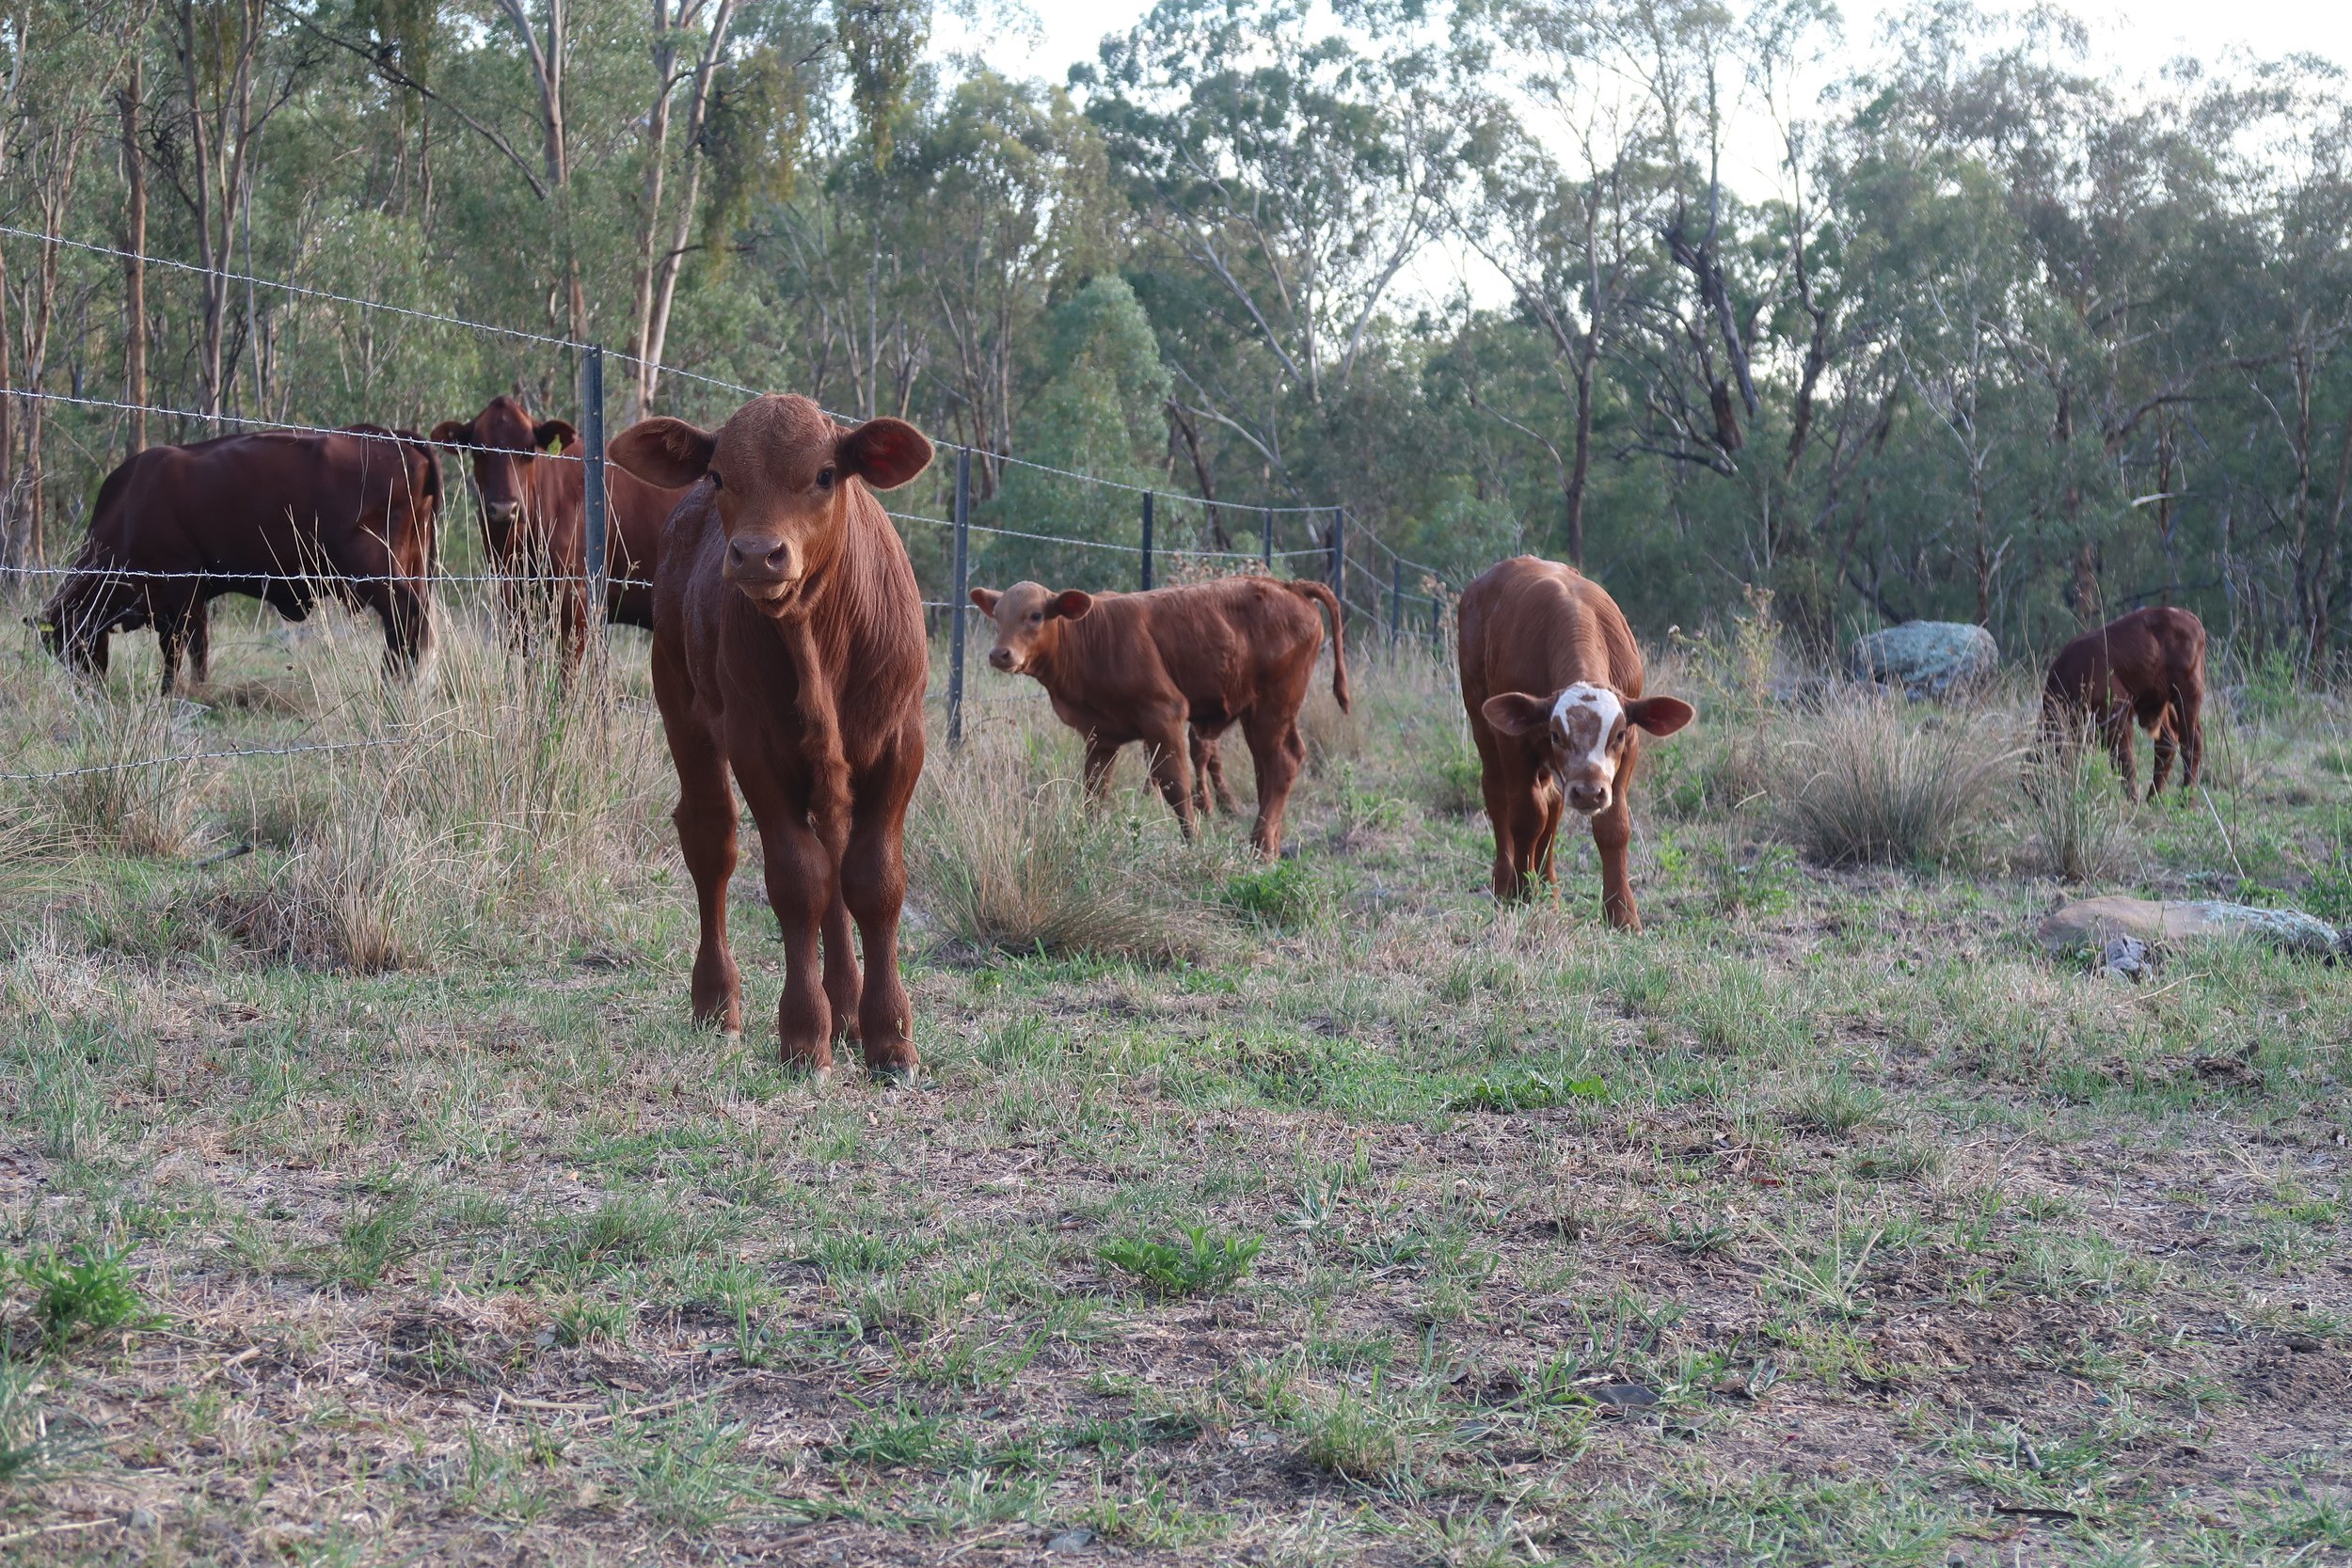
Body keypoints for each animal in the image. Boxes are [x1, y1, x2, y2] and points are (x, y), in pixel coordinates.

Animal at [37, 424, 440, 695]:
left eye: (69, 642)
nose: (84, 690)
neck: (131, 506)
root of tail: (399, 440)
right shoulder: (184, 599)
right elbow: (191, 647)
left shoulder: (181, 593)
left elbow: (184, 648)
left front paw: (177, 692)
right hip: (413, 565)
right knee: (413, 623)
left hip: (376, 572)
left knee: (405, 617)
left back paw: (392, 681)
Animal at [607, 394, 932, 1081]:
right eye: (719, 475)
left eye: (826, 474)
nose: (757, 554)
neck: (817, 641)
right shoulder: (754, 746)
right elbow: (798, 880)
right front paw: (805, 1036)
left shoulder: (902, 741)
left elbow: (874, 879)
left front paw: (889, 1037)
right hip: (678, 697)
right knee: (712, 838)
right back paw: (718, 1003)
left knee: (835, 850)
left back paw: (848, 1008)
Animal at [966, 574, 1348, 859]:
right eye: (997, 616)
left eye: (1035, 615)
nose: (1000, 654)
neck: (1089, 640)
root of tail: (1289, 586)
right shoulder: (1100, 735)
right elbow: (1094, 790)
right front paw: (1085, 836)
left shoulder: (1165, 714)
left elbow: (1175, 784)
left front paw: (1193, 842)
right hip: (1264, 714)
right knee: (1269, 767)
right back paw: (1271, 842)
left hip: (1273, 707)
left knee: (1282, 761)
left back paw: (1259, 847)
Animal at [1459, 556, 1694, 927]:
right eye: (1556, 733)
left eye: (1618, 734)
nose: (1587, 792)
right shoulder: (1516, 741)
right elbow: (1526, 817)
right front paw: (1521, 895)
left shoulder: (1631, 746)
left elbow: (1613, 825)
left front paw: (1622, 913)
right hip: (1481, 719)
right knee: (1497, 793)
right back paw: (1504, 883)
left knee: (1553, 802)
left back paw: (1549, 890)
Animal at [2042, 605, 2206, 799]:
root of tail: (2191, 619)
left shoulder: (2117, 716)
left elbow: (2124, 762)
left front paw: (2134, 800)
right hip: (2164, 702)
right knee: (2167, 743)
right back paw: (2153, 799)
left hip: (2186, 696)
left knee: (2191, 744)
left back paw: (2185, 800)